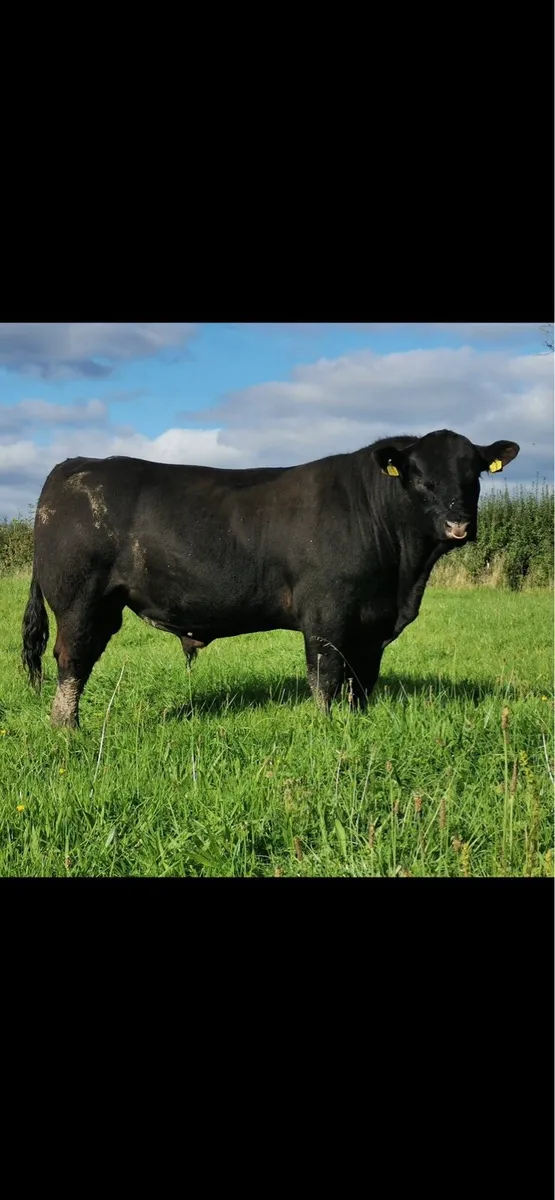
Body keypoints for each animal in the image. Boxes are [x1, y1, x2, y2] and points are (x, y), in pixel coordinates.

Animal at [21, 430, 519, 728]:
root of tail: (71, 465)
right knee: (72, 659)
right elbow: (326, 675)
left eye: (473, 474)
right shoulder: (325, 613)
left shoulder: (371, 624)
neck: (402, 578)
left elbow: (362, 679)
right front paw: (327, 726)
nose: (459, 523)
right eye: (419, 478)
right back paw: (67, 728)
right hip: (81, 599)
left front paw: (357, 722)